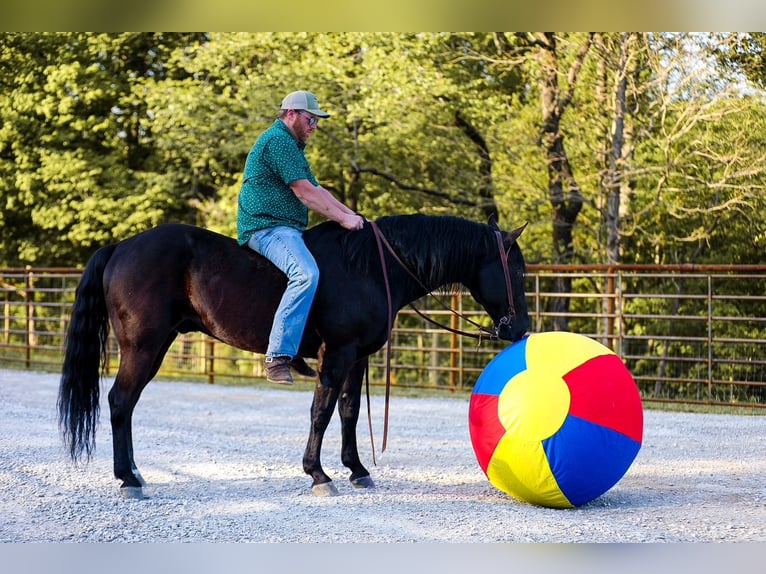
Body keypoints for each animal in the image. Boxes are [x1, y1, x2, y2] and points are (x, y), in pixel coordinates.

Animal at [58, 214, 530, 498]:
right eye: (518, 270)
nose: (520, 328)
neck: (368, 268)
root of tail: (121, 247)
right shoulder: (336, 354)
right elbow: (321, 411)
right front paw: (318, 473)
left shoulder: (358, 358)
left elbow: (349, 411)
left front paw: (357, 469)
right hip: (144, 346)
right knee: (120, 402)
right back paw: (127, 478)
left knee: (126, 404)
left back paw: (134, 472)